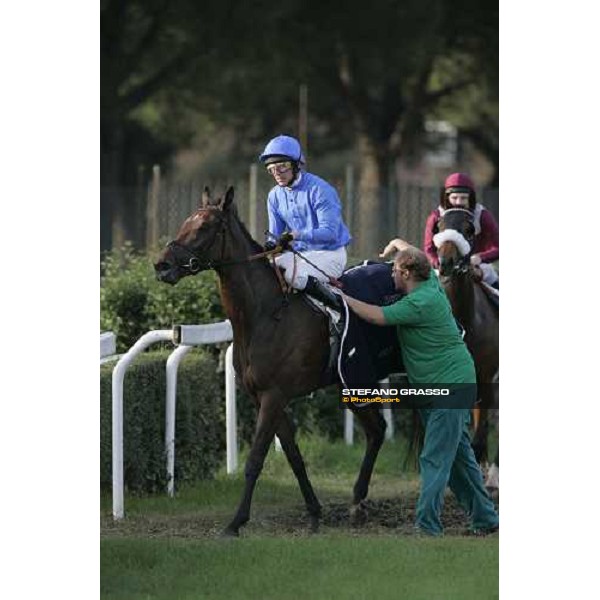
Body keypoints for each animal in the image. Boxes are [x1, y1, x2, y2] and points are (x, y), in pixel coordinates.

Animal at [155, 186, 386, 536]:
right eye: (186, 222)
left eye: (205, 227)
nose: (161, 265)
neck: (265, 313)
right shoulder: (261, 396)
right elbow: (293, 456)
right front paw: (314, 513)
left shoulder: (274, 396)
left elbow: (255, 460)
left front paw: (235, 522)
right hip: (353, 382)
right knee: (377, 430)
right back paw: (357, 501)